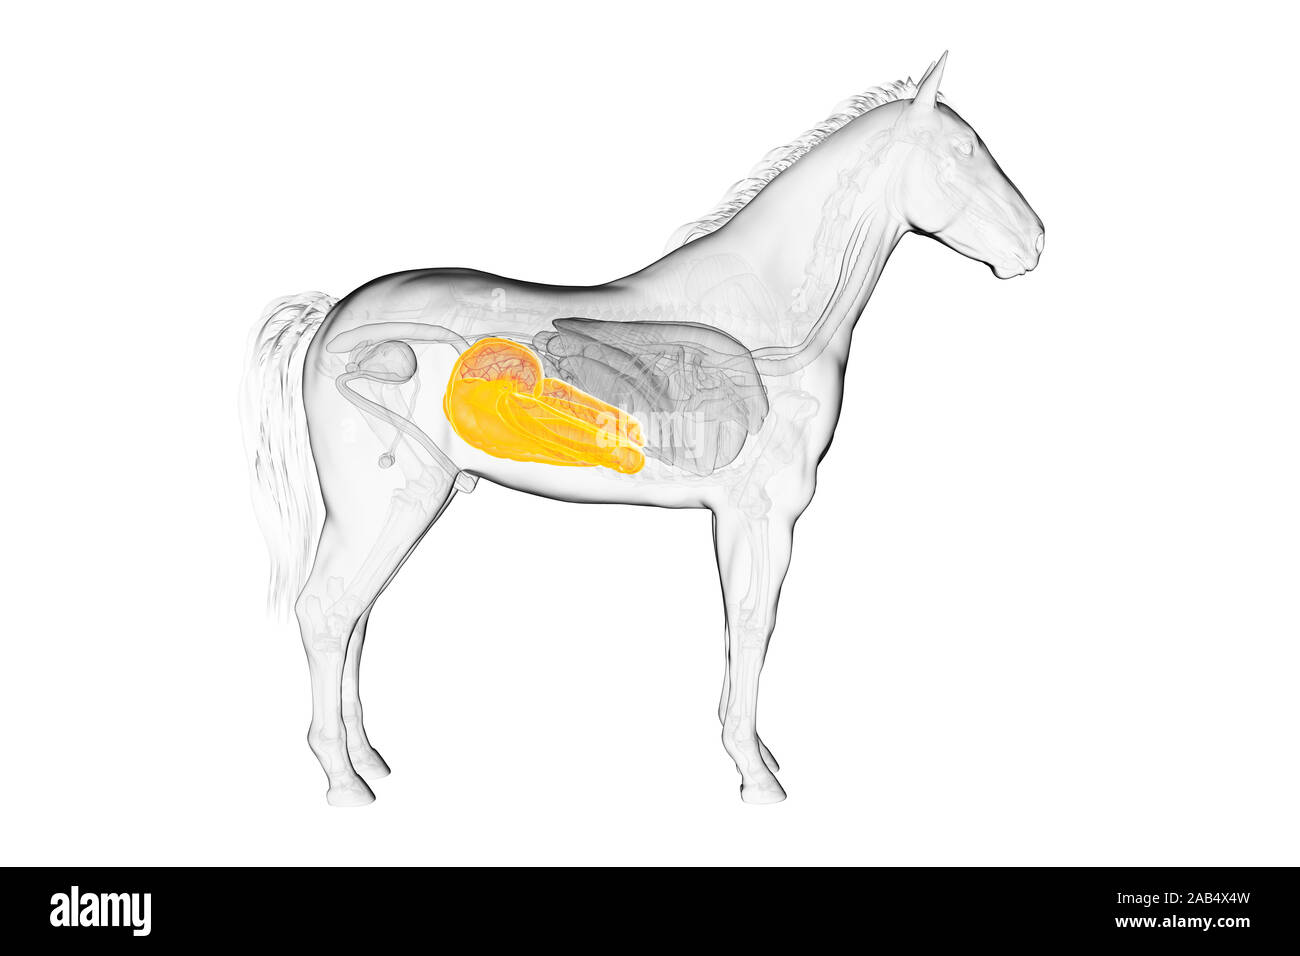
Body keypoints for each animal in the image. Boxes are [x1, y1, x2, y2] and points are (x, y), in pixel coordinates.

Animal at [241, 53, 1044, 806]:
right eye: (963, 150)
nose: (1035, 244)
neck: (764, 325)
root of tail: (333, 319)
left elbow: (742, 626)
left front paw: (755, 754)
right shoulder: (760, 514)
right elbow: (753, 622)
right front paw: (756, 775)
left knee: (354, 616)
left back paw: (369, 761)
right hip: (386, 503)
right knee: (325, 612)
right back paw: (344, 784)